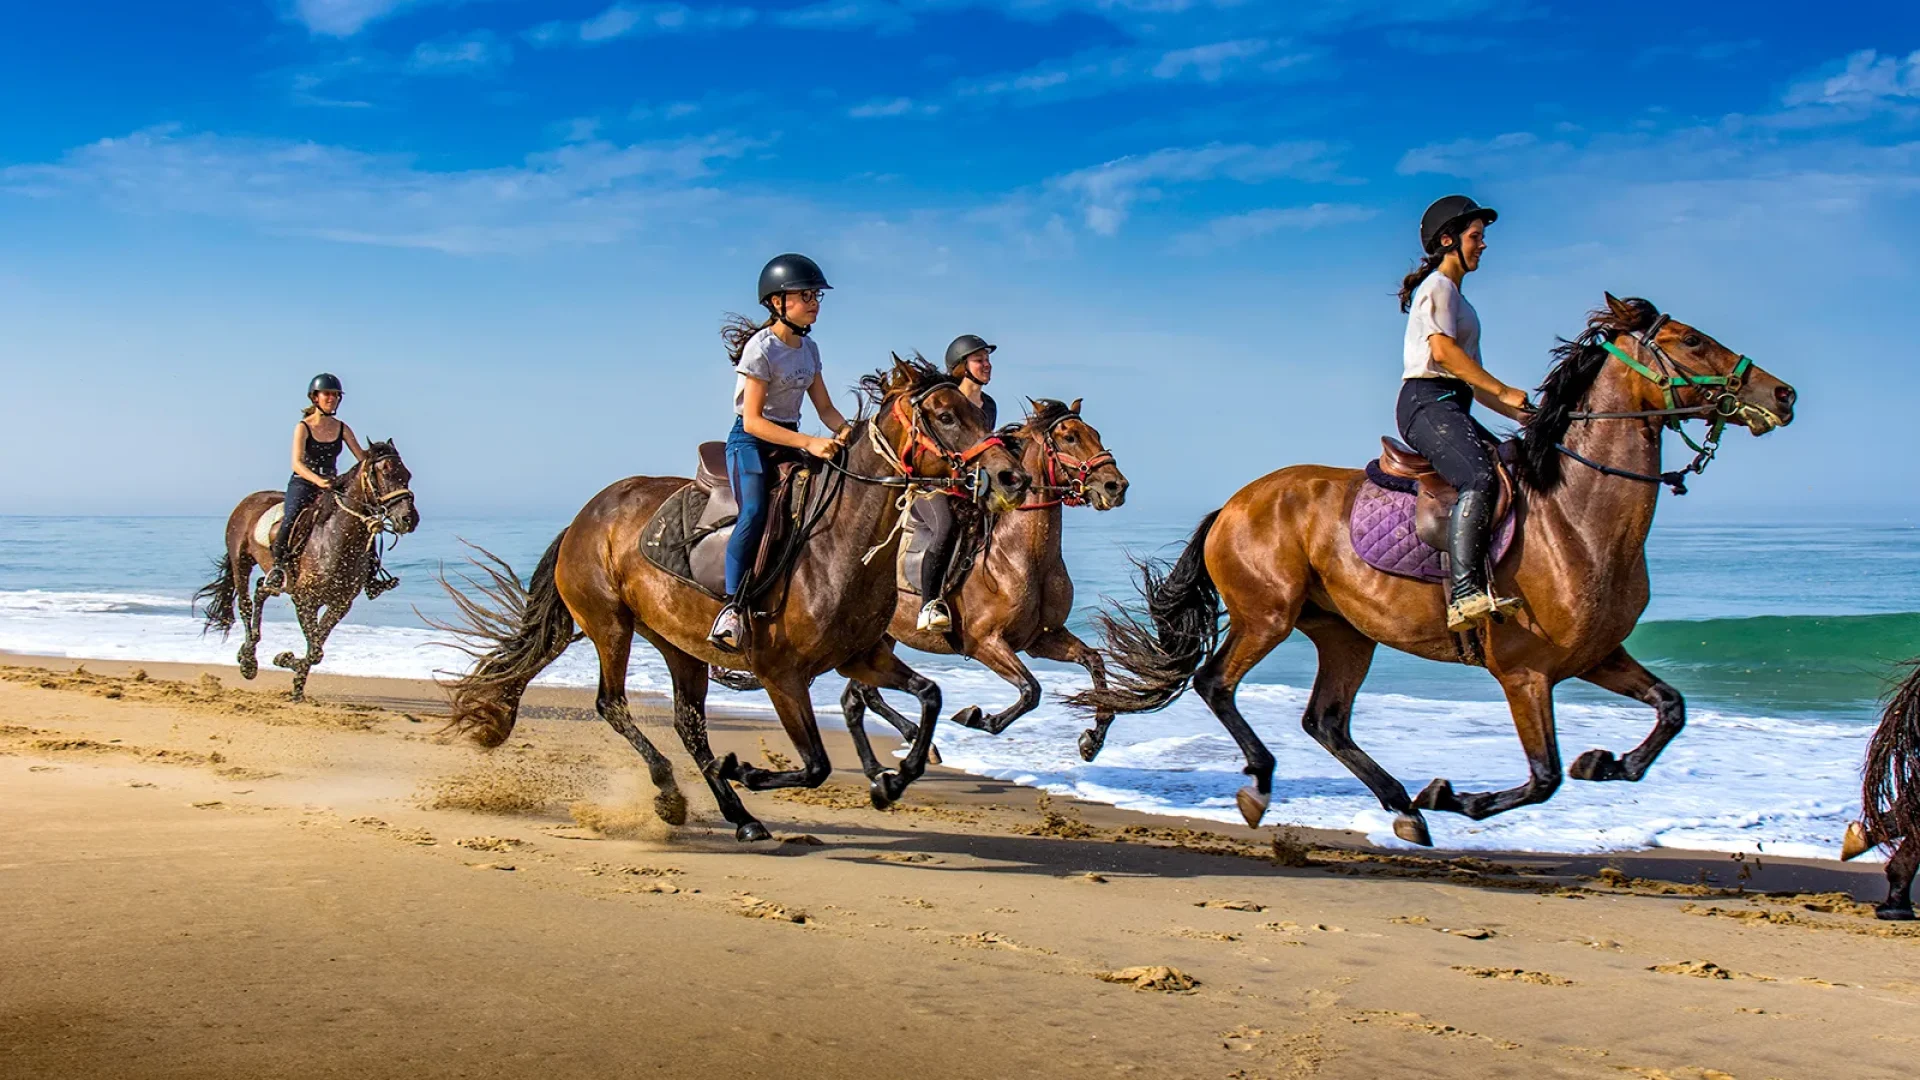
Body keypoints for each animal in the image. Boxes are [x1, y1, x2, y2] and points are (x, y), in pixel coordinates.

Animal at [194, 440, 420, 703]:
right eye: (383, 473)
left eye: (407, 475)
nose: (409, 519)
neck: (335, 538)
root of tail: (248, 500)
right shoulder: (305, 601)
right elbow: (315, 650)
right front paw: (284, 660)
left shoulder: (340, 604)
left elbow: (316, 650)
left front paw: (297, 685)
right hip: (241, 563)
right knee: (245, 604)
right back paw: (248, 662)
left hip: (276, 579)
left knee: (261, 589)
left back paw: (247, 651)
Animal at [437, 357, 1036, 837]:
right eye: (945, 415)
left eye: (981, 413)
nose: (1014, 478)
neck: (838, 545)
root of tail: (586, 516)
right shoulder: (781, 676)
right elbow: (816, 765)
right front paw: (746, 769)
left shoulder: (863, 657)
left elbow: (931, 696)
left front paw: (892, 783)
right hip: (610, 624)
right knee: (613, 704)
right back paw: (674, 792)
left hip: (678, 643)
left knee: (689, 723)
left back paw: (738, 816)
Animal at [833, 395, 1128, 772]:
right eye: (1070, 437)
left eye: (1095, 433)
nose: (1116, 486)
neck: (1021, 556)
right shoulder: (983, 642)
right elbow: (1031, 691)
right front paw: (975, 717)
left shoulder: (1043, 639)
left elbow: (1094, 662)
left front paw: (1092, 740)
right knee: (860, 695)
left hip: (879, 637)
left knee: (859, 695)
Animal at [1075, 294, 1789, 841]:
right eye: (1692, 340)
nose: (1784, 394)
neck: (1575, 517)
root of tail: (1233, 502)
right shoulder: (1524, 672)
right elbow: (1544, 777)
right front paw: (1458, 796)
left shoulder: (1595, 655)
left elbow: (1671, 708)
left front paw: (1606, 763)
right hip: (1267, 615)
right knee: (1217, 683)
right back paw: (1270, 785)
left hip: (1345, 632)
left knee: (1325, 720)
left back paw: (1402, 808)